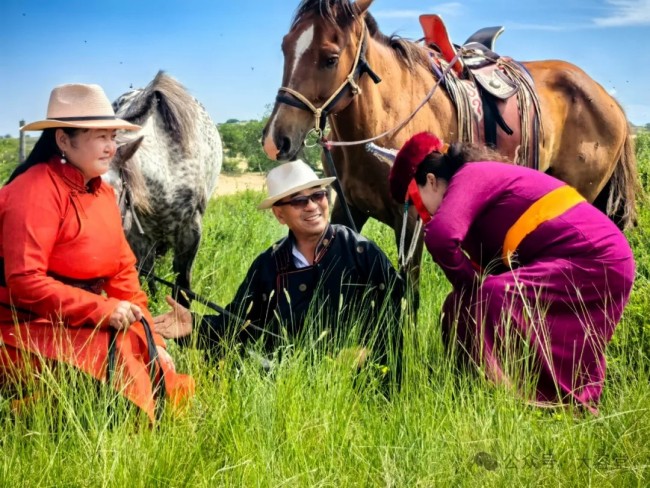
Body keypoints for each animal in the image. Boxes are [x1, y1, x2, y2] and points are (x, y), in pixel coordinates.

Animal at [260, 0, 636, 282]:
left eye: (331, 58)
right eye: (285, 47)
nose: (276, 139)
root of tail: (609, 99)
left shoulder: (411, 220)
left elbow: (407, 290)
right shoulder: (346, 207)